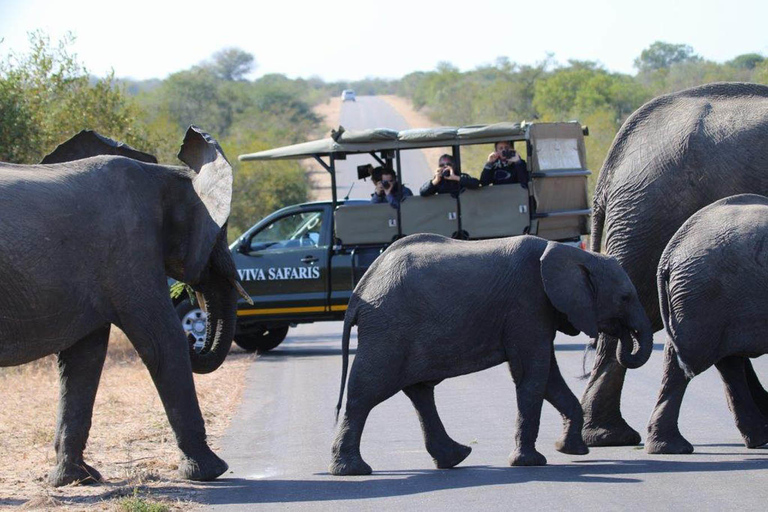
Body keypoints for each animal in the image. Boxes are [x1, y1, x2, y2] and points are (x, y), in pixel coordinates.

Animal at [0, 126, 249, 486]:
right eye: (221, 233)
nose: (196, 336)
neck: (161, 175)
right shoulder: (131, 249)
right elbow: (163, 341)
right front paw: (211, 472)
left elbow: (84, 359)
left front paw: (77, 479)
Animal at [330, 235, 656, 476]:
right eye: (625, 297)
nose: (621, 336)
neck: (572, 254)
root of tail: (360, 290)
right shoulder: (528, 304)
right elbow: (533, 374)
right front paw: (530, 463)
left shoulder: (537, 310)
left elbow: (548, 378)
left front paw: (571, 450)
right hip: (388, 330)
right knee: (366, 392)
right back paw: (352, 470)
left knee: (419, 392)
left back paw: (455, 457)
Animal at [648, 194, 768, 454]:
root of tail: (670, 252)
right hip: (704, 297)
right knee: (691, 364)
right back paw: (672, 448)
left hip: (708, 304)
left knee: (724, 363)